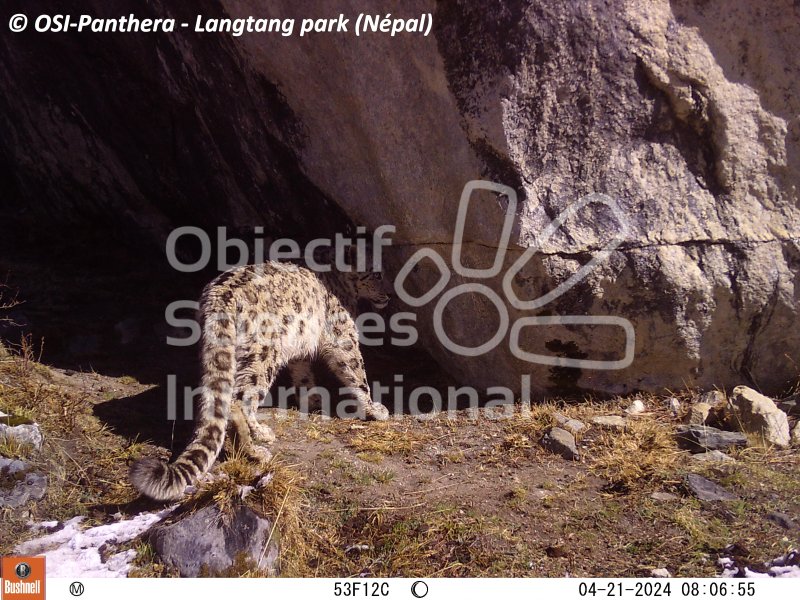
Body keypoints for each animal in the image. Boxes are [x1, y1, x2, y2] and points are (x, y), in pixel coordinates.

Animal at [131, 258, 390, 502]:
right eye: (376, 274)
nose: (388, 295)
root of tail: (217, 298)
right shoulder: (342, 336)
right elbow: (356, 370)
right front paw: (374, 409)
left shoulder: (301, 349)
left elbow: (303, 373)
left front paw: (314, 400)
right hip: (263, 354)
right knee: (240, 399)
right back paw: (257, 444)